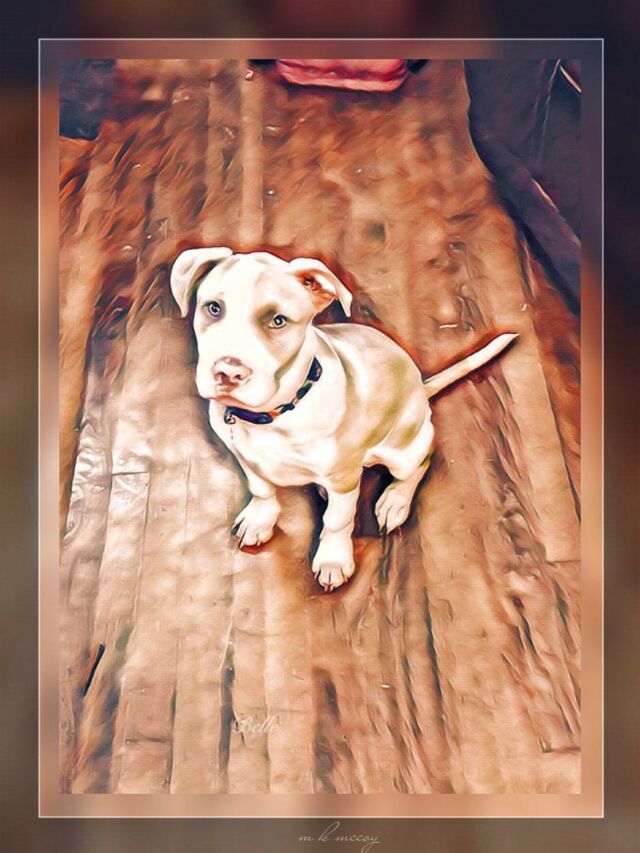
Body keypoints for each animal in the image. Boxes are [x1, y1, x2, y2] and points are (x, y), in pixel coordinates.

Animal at [171, 247, 516, 592]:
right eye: (214, 308)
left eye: (278, 320)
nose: (228, 373)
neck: (277, 415)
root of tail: (421, 386)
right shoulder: (244, 457)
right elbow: (261, 487)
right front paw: (260, 519)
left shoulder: (343, 478)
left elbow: (337, 521)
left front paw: (333, 561)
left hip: (403, 450)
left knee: (420, 463)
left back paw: (394, 501)